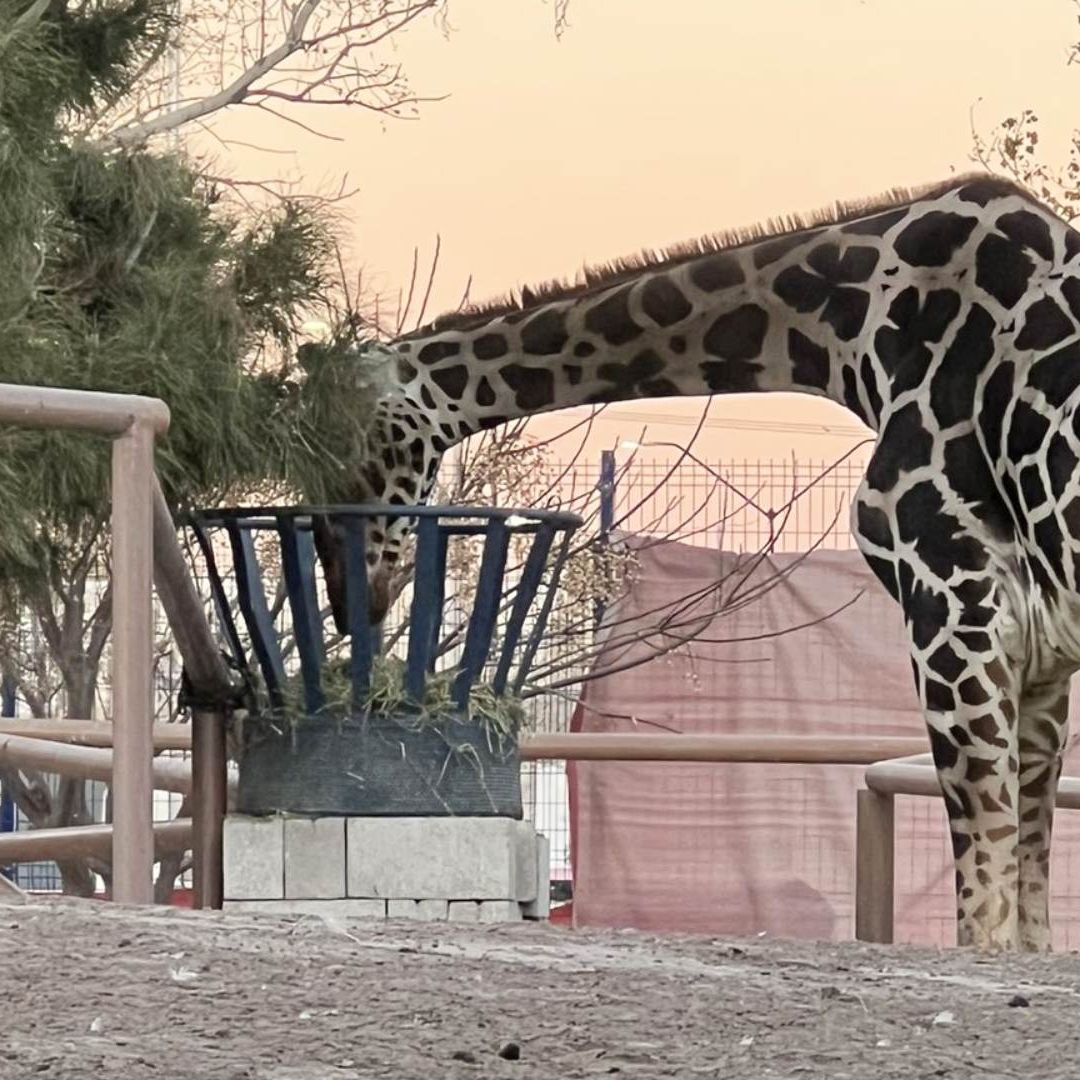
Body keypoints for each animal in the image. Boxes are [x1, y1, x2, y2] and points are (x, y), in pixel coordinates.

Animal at [317, 172, 1080, 952]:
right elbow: (1027, 914)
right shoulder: (1036, 653)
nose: (351, 600)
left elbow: (985, 915)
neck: (852, 328)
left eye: (343, 449)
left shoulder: (953, 601)